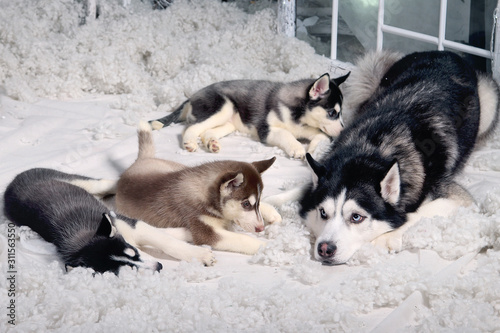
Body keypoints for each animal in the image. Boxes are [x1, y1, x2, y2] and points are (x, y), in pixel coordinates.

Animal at [3, 167, 164, 274]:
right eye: (129, 268)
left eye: (133, 252)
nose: (159, 266)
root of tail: (9, 188)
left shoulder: (127, 224)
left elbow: (166, 242)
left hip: (81, 182)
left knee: (107, 183)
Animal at [114, 121, 284, 254]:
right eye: (246, 204)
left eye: (256, 202)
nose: (261, 228)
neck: (203, 192)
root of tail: (140, 160)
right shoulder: (204, 231)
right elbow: (242, 239)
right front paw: (268, 246)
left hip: (175, 167)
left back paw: (271, 212)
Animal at [150, 72, 350, 158]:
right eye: (332, 113)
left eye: (341, 113)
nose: (343, 131)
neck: (298, 117)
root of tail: (192, 96)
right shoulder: (266, 130)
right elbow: (286, 134)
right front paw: (297, 148)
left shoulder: (311, 129)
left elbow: (321, 136)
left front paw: (314, 149)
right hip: (222, 106)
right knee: (191, 127)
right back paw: (190, 142)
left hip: (229, 121)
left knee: (206, 131)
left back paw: (212, 143)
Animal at [296, 50, 500, 264]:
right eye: (323, 213)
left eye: (356, 217)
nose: (325, 248)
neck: (372, 147)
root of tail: (445, 52)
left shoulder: (459, 198)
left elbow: (418, 214)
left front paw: (382, 240)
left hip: (490, 98)